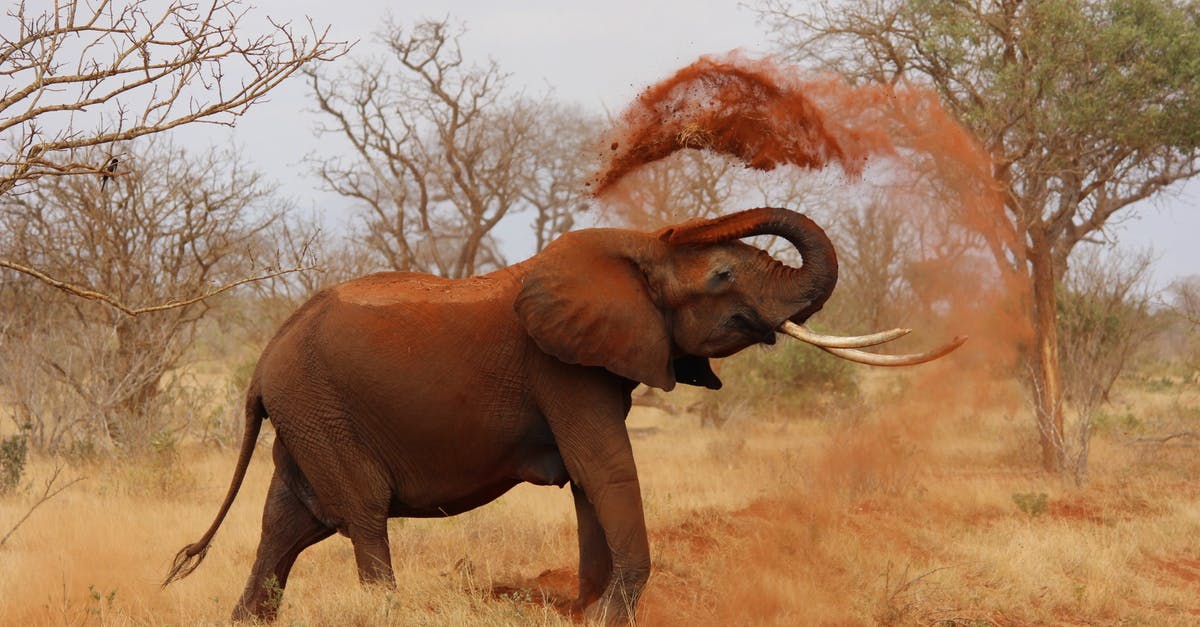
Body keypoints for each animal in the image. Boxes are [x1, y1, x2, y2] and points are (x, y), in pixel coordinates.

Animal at [164, 206, 960, 619]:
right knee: (358, 515)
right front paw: (611, 612)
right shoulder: (563, 369)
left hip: (306, 414)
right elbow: (605, 469)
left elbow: (589, 484)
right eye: (725, 274)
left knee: (287, 525)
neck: (634, 250)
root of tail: (264, 358)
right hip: (321, 408)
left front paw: (589, 609)